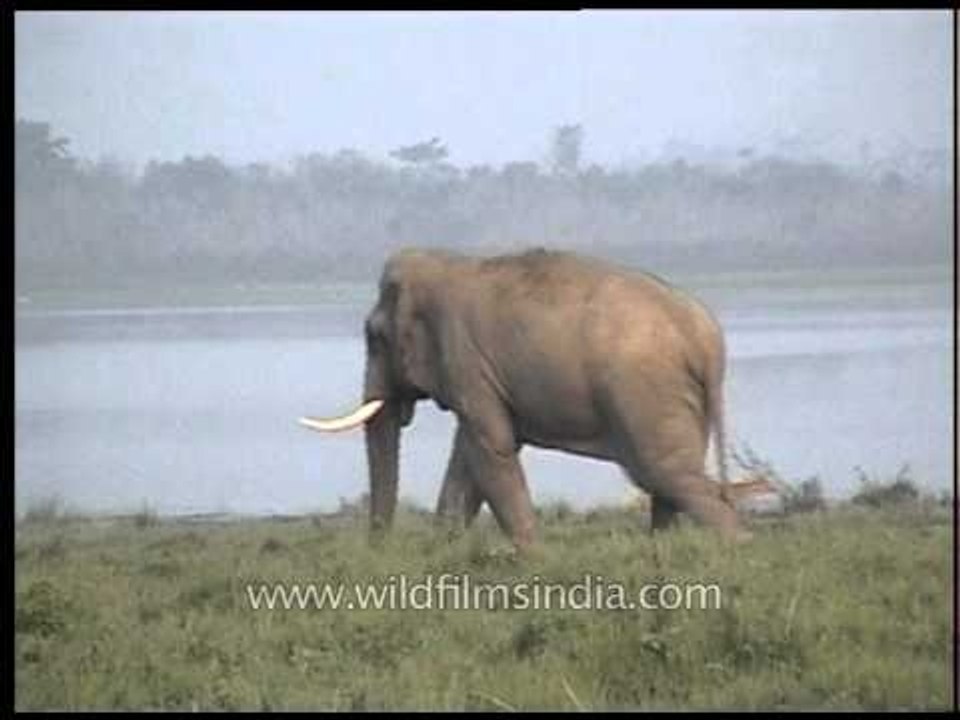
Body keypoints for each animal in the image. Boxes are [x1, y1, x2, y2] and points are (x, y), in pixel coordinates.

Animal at [302, 247, 750, 551]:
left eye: (374, 338)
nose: (379, 548)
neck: (448, 262)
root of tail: (706, 336)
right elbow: (469, 457)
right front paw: (444, 551)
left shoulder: (466, 362)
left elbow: (491, 449)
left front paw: (532, 558)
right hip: (679, 399)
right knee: (669, 480)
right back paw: (663, 552)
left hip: (646, 392)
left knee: (667, 475)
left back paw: (731, 553)